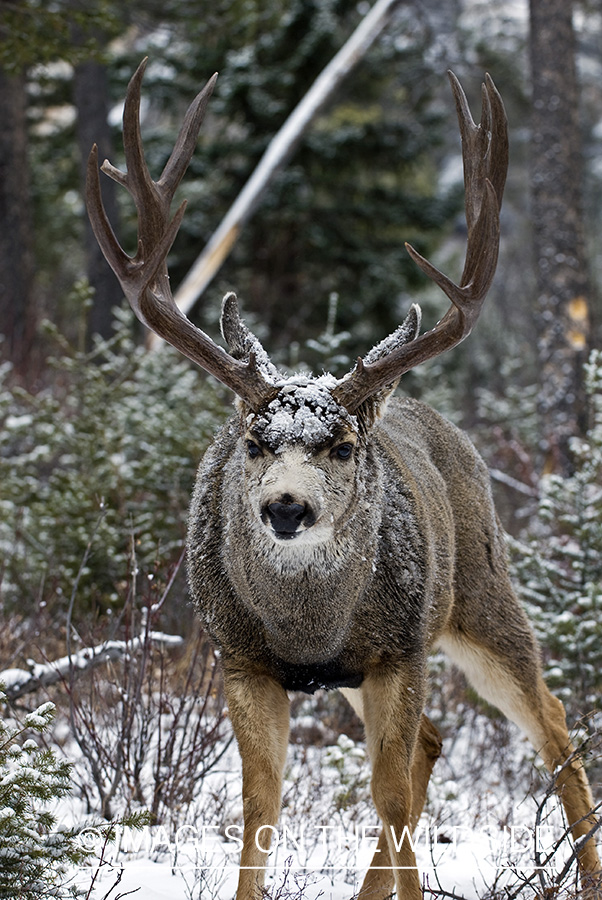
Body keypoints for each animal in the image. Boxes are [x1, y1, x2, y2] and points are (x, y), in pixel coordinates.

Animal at [86, 59, 601, 900]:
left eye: (342, 445)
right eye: (256, 442)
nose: (285, 508)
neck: (308, 626)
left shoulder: (399, 651)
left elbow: (387, 796)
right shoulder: (242, 660)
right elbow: (260, 803)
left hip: (479, 592)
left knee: (552, 718)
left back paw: (586, 873)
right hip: (371, 669)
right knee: (435, 739)